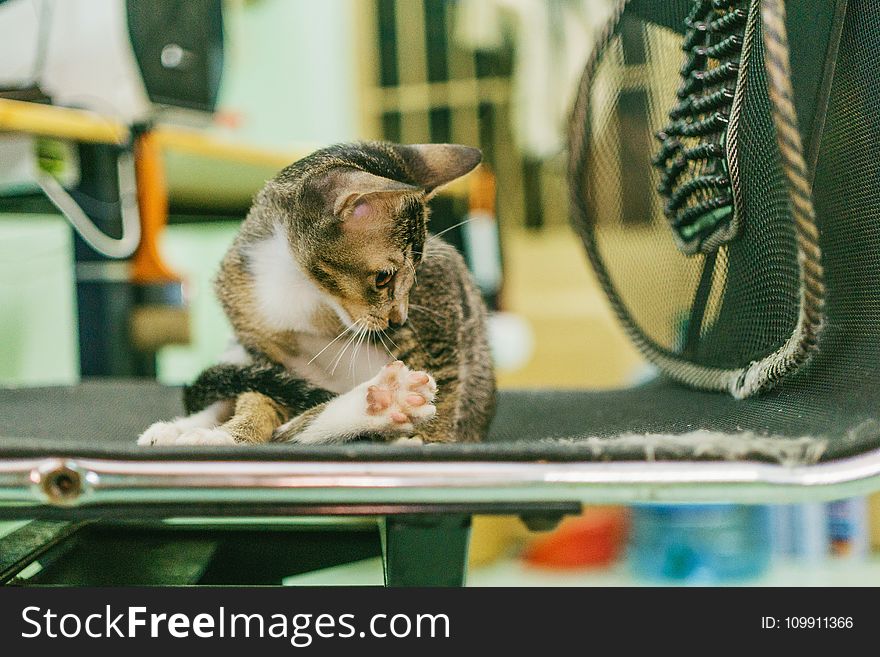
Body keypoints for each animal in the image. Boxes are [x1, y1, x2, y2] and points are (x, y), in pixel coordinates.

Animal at [138, 139, 496, 446]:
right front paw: (232, 435)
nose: (399, 319)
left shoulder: (443, 286)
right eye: (384, 278)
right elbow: (260, 400)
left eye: (415, 276)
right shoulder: (263, 349)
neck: (304, 288)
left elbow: (446, 379)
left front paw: (430, 438)